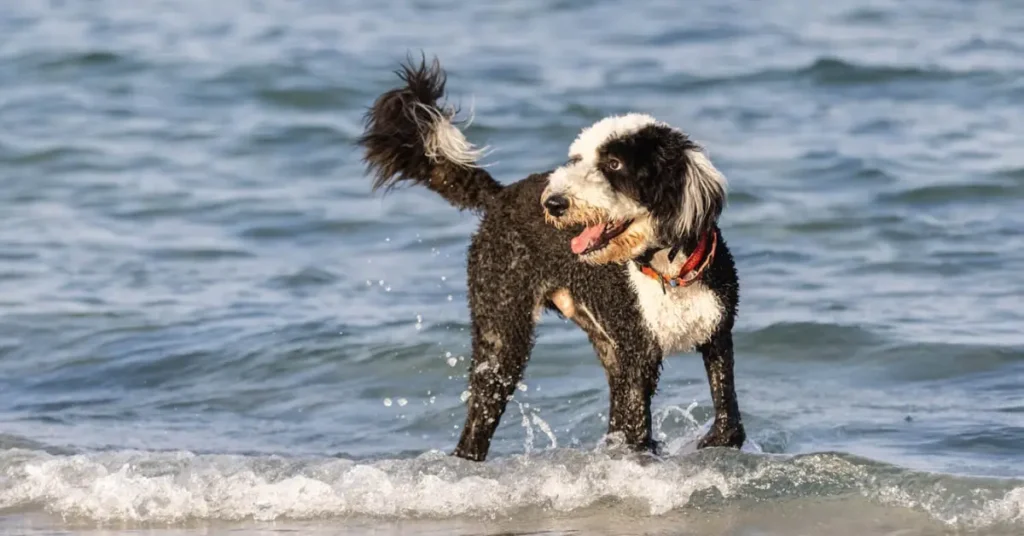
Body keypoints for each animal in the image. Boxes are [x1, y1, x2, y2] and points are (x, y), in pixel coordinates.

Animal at [360, 57, 745, 461]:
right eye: (576, 160)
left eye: (614, 164)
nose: (555, 204)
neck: (664, 271)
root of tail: (499, 196)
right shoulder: (638, 354)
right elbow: (637, 430)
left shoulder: (715, 334)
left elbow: (727, 408)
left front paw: (718, 439)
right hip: (501, 329)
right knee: (477, 422)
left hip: (602, 342)